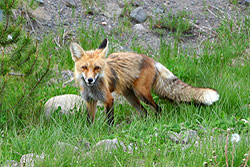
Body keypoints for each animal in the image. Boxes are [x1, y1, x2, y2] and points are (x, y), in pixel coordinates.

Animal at [70, 39, 219, 124]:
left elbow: (110, 121)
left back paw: (155, 123)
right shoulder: (90, 101)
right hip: (130, 96)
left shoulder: (108, 99)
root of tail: (151, 60)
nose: (90, 80)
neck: (91, 89)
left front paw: (109, 133)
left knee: (157, 108)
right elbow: (89, 121)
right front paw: (89, 131)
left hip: (142, 94)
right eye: (84, 67)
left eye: (97, 68)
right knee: (144, 112)